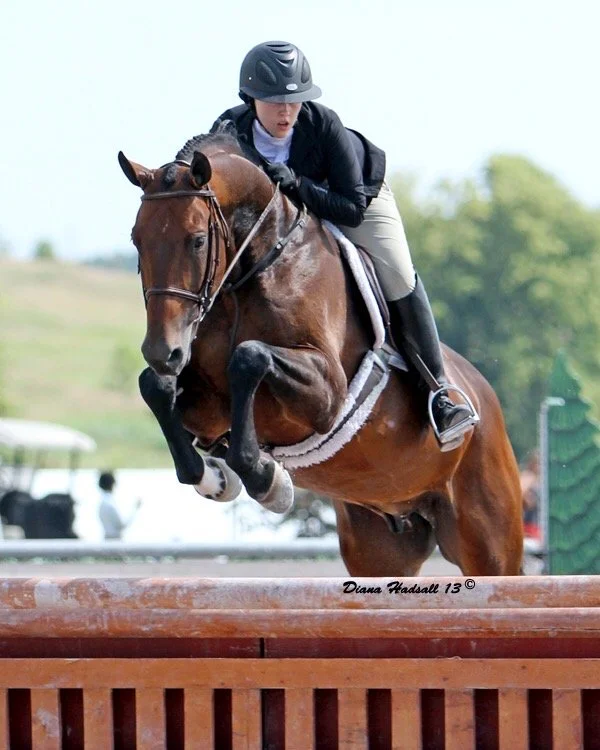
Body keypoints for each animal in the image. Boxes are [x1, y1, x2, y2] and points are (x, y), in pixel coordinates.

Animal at [118, 129, 523, 576]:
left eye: (198, 240)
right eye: (137, 239)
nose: (163, 351)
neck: (253, 270)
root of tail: (485, 397)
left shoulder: (327, 395)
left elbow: (250, 357)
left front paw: (266, 478)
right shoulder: (207, 408)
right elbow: (156, 387)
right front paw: (215, 478)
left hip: (489, 544)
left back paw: (450, 411)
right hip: (379, 549)